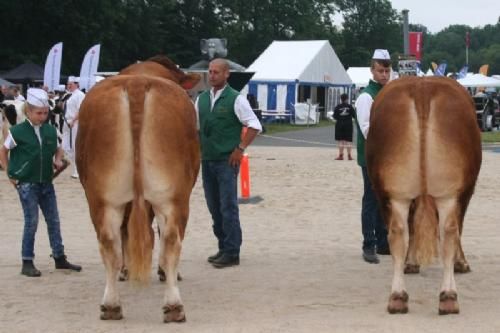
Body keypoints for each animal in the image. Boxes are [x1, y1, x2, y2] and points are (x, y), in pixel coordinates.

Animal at [75, 55, 200, 322]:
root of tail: (137, 83)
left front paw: (127, 270)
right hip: (174, 197)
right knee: (170, 240)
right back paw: (173, 305)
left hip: (102, 198)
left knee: (109, 242)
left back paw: (111, 305)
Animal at [368, 76, 480, 316]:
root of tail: (422, 88)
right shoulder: (466, 190)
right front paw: (461, 263)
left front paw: (411, 263)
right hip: (449, 192)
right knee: (450, 231)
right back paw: (448, 296)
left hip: (392, 192)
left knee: (398, 233)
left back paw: (398, 297)